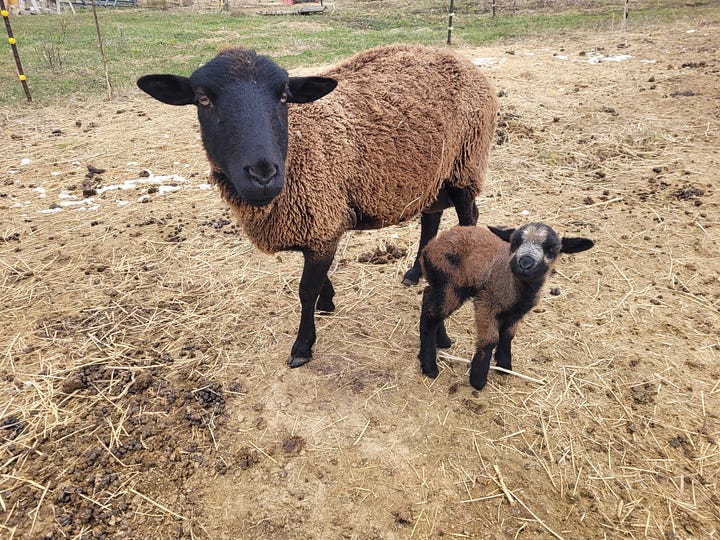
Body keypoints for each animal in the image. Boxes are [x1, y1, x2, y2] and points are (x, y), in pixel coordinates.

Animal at [136, 44, 498, 368]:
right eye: (203, 99)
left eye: (284, 96)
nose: (263, 174)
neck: (298, 146)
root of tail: (459, 58)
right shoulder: (318, 221)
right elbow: (317, 279)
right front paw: (328, 299)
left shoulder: (322, 221)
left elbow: (305, 290)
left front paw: (303, 345)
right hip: (431, 175)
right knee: (431, 219)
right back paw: (414, 272)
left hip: (464, 163)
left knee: (469, 216)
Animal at [418, 223, 594, 390]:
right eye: (514, 243)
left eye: (551, 250)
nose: (525, 263)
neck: (517, 288)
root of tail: (430, 247)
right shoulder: (486, 303)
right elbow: (490, 339)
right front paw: (478, 379)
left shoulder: (515, 314)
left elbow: (508, 335)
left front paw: (504, 365)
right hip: (451, 284)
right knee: (430, 315)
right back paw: (430, 366)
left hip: (442, 284)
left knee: (428, 298)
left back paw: (443, 341)